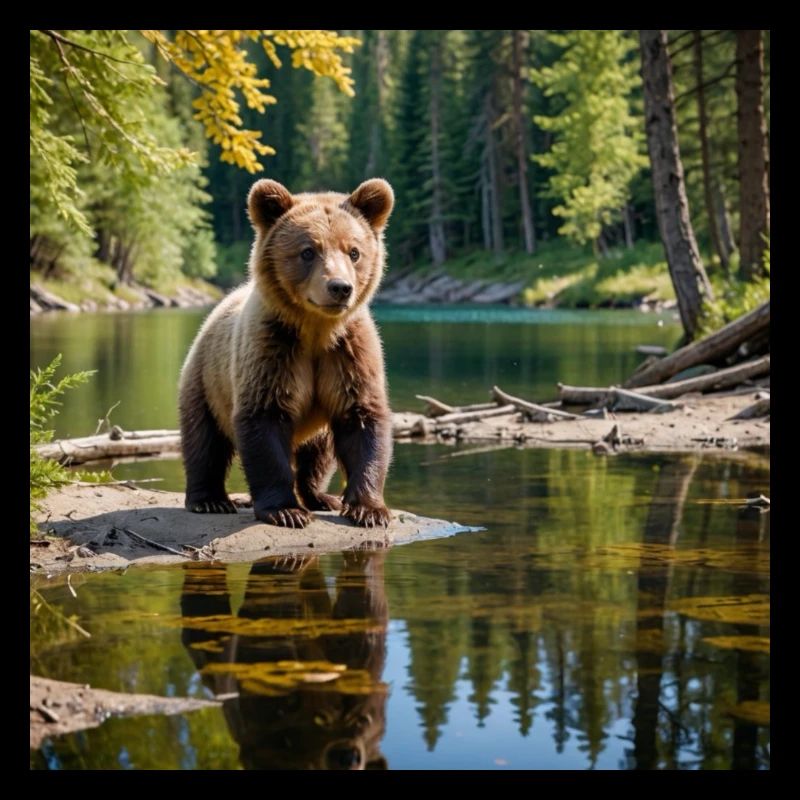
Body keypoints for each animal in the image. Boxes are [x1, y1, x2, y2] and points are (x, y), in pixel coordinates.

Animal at [178, 178, 394, 529]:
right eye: (308, 251)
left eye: (354, 251)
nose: (339, 287)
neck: (316, 330)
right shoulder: (272, 351)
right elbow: (263, 419)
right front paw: (285, 510)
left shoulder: (349, 355)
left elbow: (362, 419)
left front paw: (370, 509)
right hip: (206, 379)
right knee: (203, 439)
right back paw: (209, 499)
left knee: (319, 453)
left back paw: (320, 496)